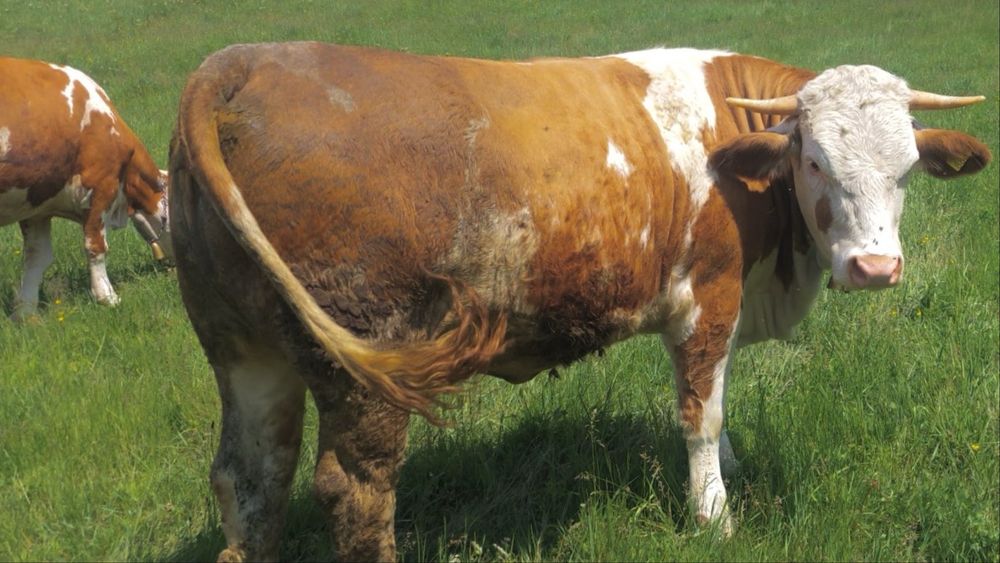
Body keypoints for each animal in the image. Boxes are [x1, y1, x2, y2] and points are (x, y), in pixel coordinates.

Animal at [0, 57, 172, 321]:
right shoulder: (101, 187)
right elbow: (96, 247)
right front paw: (108, 298)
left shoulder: (36, 205)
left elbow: (36, 258)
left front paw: (25, 313)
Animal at [169, 42, 990, 561]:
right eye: (814, 160)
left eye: (908, 168)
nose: (876, 266)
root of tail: (240, 62)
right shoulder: (708, 297)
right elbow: (701, 412)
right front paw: (714, 516)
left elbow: (715, 396)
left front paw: (725, 469)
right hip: (364, 361)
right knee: (353, 491)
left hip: (245, 351)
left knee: (250, 479)